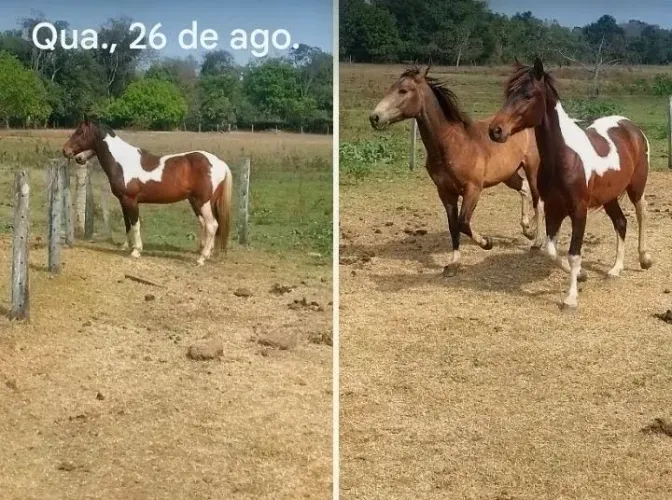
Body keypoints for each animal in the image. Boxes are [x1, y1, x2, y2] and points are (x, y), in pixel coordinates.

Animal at [62, 120, 233, 265]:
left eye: (80, 132)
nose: (66, 151)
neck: (122, 162)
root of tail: (220, 164)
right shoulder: (123, 201)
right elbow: (127, 224)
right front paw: (126, 246)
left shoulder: (131, 200)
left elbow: (135, 224)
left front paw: (136, 251)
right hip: (199, 202)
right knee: (207, 225)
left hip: (203, 202)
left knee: (212, 225)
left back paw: (201, 258)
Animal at [368, 66, 545, 277]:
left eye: (403, 91)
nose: (374, 117)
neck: (452, 144)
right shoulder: (445, 192)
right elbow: (453, 226)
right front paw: (453, 263)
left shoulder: (473, 189)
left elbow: (463, 222)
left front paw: (487, 242)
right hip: (508, 174)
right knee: (524, 189)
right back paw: (527, 229)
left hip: (532, 168)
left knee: (538, 200)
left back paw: (537, 241)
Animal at [488, 58, 652, 310]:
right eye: (508, 93)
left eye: (527, 95)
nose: (496, 130)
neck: (564, 157)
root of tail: (631, 127)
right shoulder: (554, 209)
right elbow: (551, 251)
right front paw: (582, 275)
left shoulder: (578, 211)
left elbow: (574, 254)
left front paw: (571, 298)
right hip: (609, 197)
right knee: (621, 223)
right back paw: (615, 269)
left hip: (636, 188)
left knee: (642, 214)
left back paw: (644, 259)